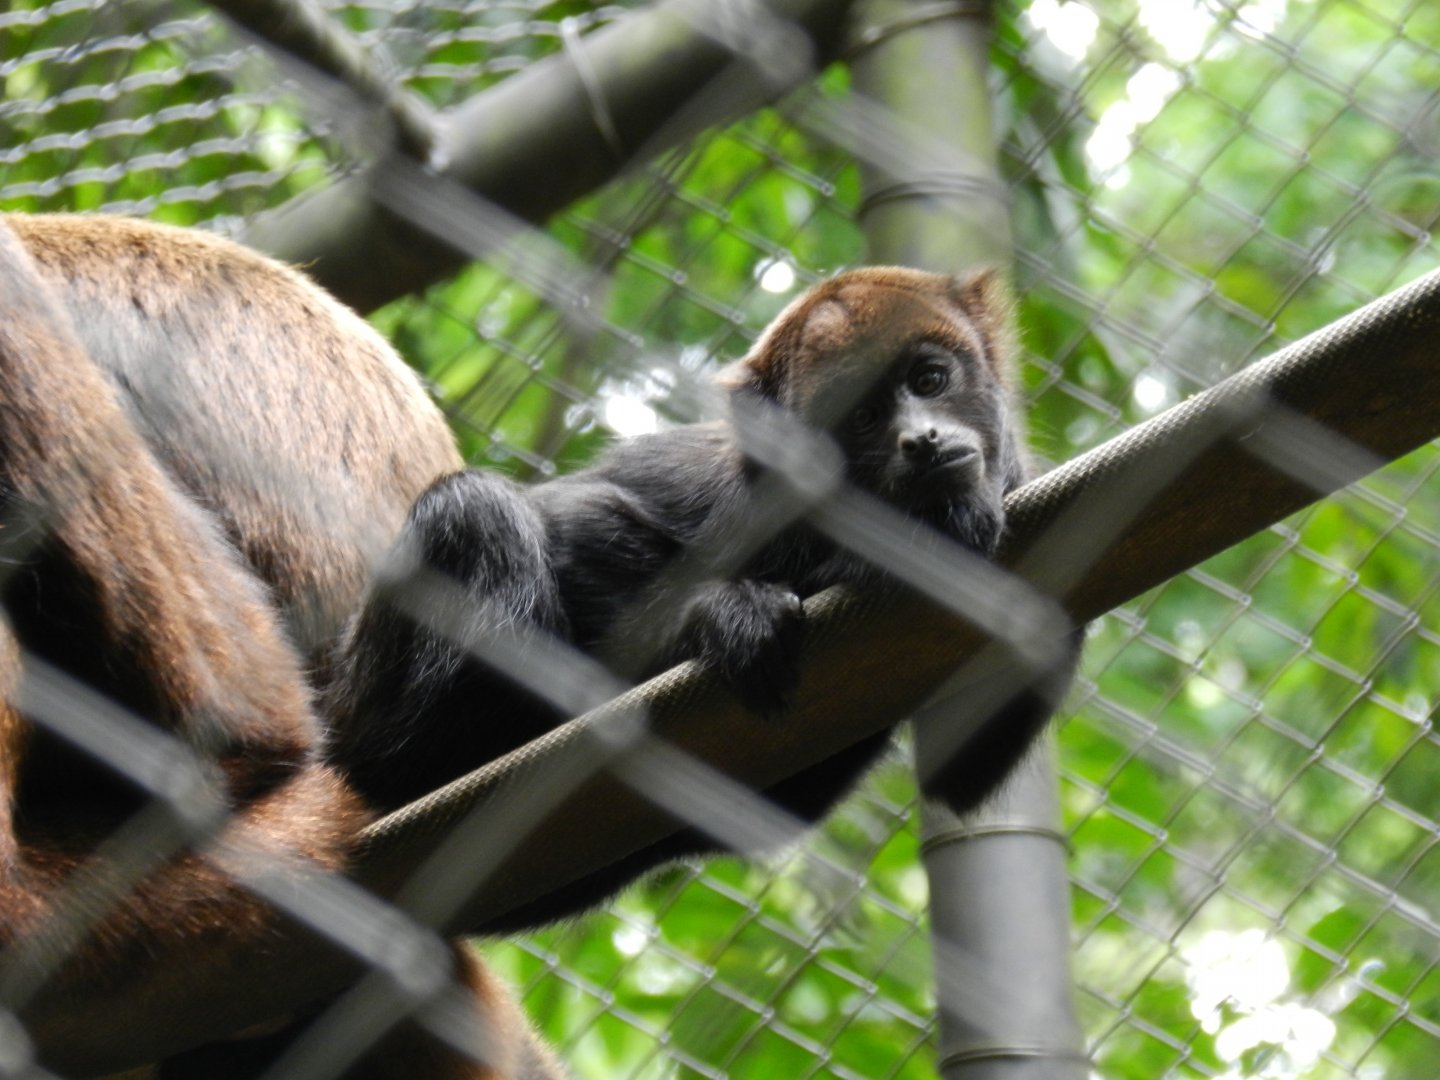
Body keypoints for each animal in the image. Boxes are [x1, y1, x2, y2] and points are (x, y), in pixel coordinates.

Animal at [326, 265, 1075, 932]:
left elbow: (957, 773)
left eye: (930, 380)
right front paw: (721, 616)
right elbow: (578, 516)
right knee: (477, 508)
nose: (921, 439)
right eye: (862, 416)